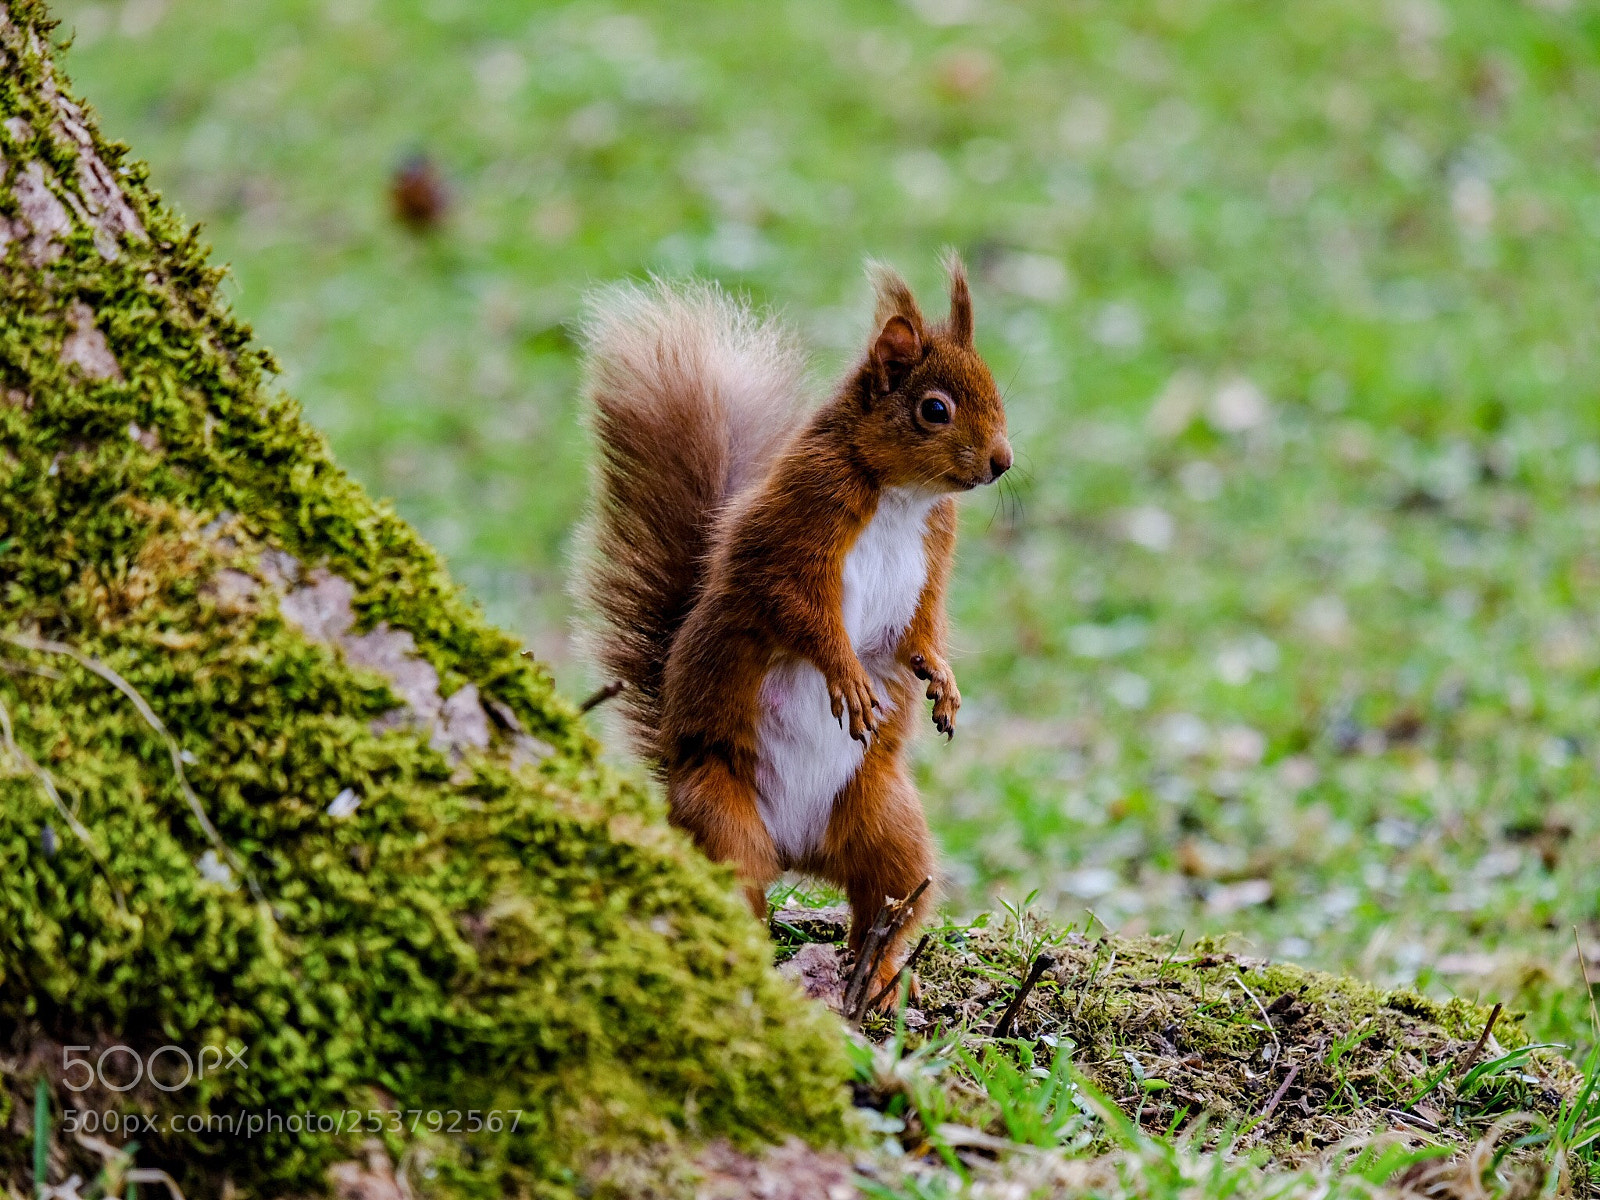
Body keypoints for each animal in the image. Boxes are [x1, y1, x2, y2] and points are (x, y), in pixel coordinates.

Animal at [575, 255, 1011, 1002]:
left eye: (996, 392)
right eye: (935, 409)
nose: (1003, 462)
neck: (901, 496)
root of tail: (797, 851)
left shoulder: (931, 561)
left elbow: (917, 633)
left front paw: (943, 681)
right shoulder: (798, 529)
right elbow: (801, 616)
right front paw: (848, 678)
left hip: (887, 819)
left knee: (888, 901)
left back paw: (879, 978)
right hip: (721, 811)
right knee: (736, 887)